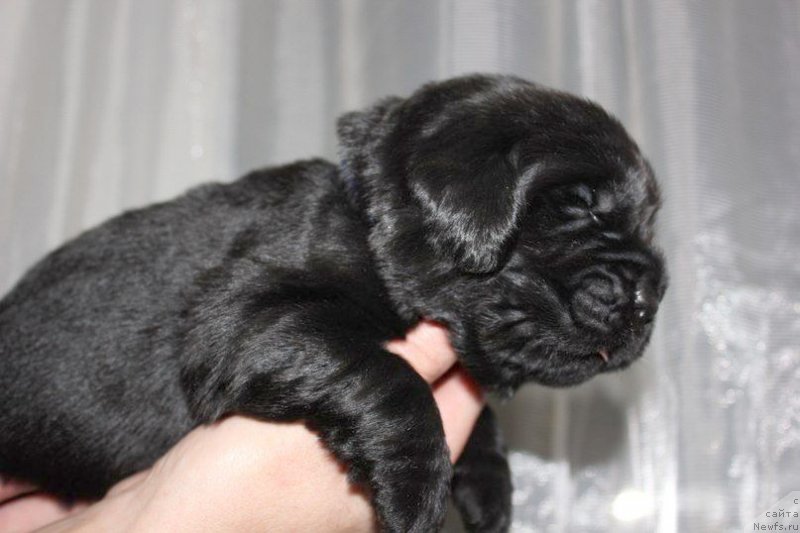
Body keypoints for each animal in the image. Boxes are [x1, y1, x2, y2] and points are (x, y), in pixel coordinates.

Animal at [0, 76, 664, 532]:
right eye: (577, 205)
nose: (646, 296)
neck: (364, 222)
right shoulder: (246, 318)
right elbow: (389, 376)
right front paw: (416, 487)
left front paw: (488, 485)